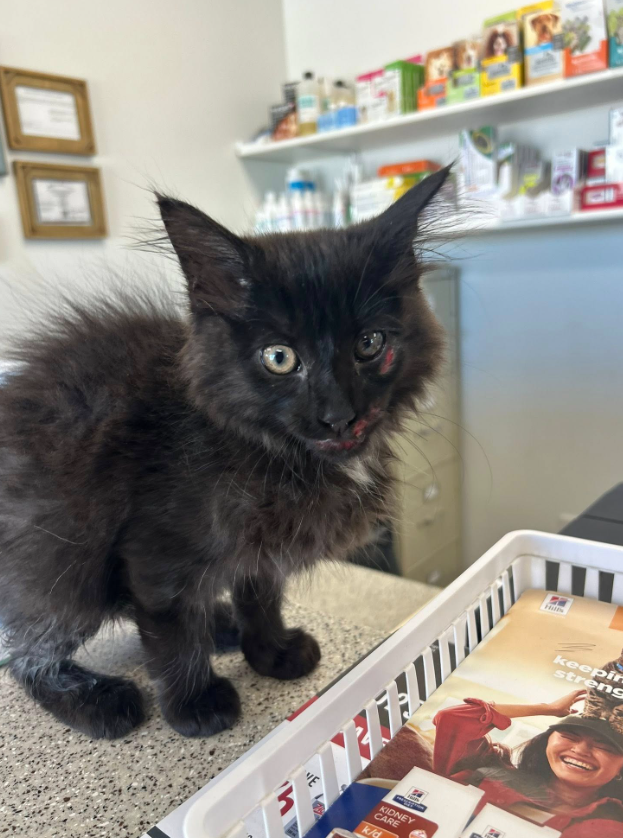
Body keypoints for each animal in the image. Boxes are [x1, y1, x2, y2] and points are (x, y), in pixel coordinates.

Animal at [0, 166, 449, 740]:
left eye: (370, 344)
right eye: (279, 358)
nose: (338, 415)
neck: (269, 450)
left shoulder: (263, 547)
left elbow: (260, 595)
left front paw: (270, 652)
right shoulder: (155, 552)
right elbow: (171, 630)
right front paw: (194, 704)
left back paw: (220, 626)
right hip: (63, 563)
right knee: (27, 655)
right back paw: (99, 701)